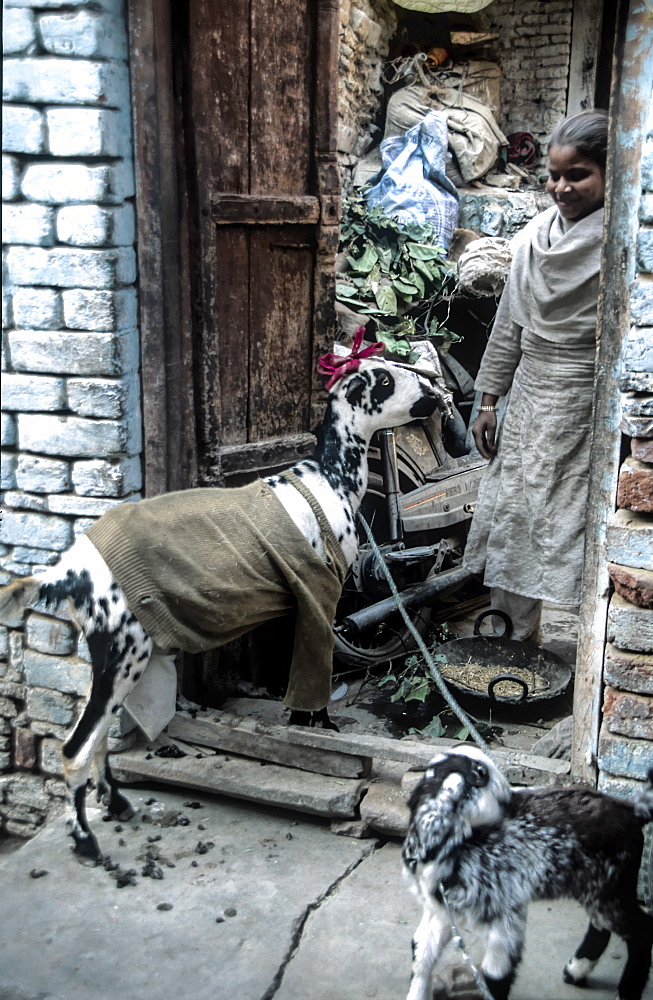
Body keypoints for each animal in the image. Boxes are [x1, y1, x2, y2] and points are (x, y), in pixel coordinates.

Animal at [0, 352, 440, 860]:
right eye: (384, 380)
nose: (433, 395)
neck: (330, 482)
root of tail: (70, 572)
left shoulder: (299, 599)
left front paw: (300, 724)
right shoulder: (319, 592)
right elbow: (315, 670)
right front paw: (322, 726)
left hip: (117, 649)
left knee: (99, 736)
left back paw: (118, 805)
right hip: (122, 648)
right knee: (76, 747)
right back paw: (86, 841)